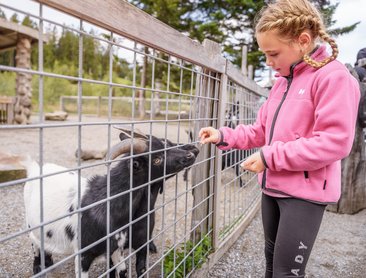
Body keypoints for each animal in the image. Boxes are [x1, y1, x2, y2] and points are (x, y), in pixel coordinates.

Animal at [24, 127, 199, 276]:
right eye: (157, 159)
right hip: (31, 225)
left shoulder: (116, 248)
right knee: (35, 244)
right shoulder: (83, 255)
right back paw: (39, 267)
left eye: (165, 144)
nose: (191, 154)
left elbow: (123, 271)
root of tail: (35, 168)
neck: (107, 202)